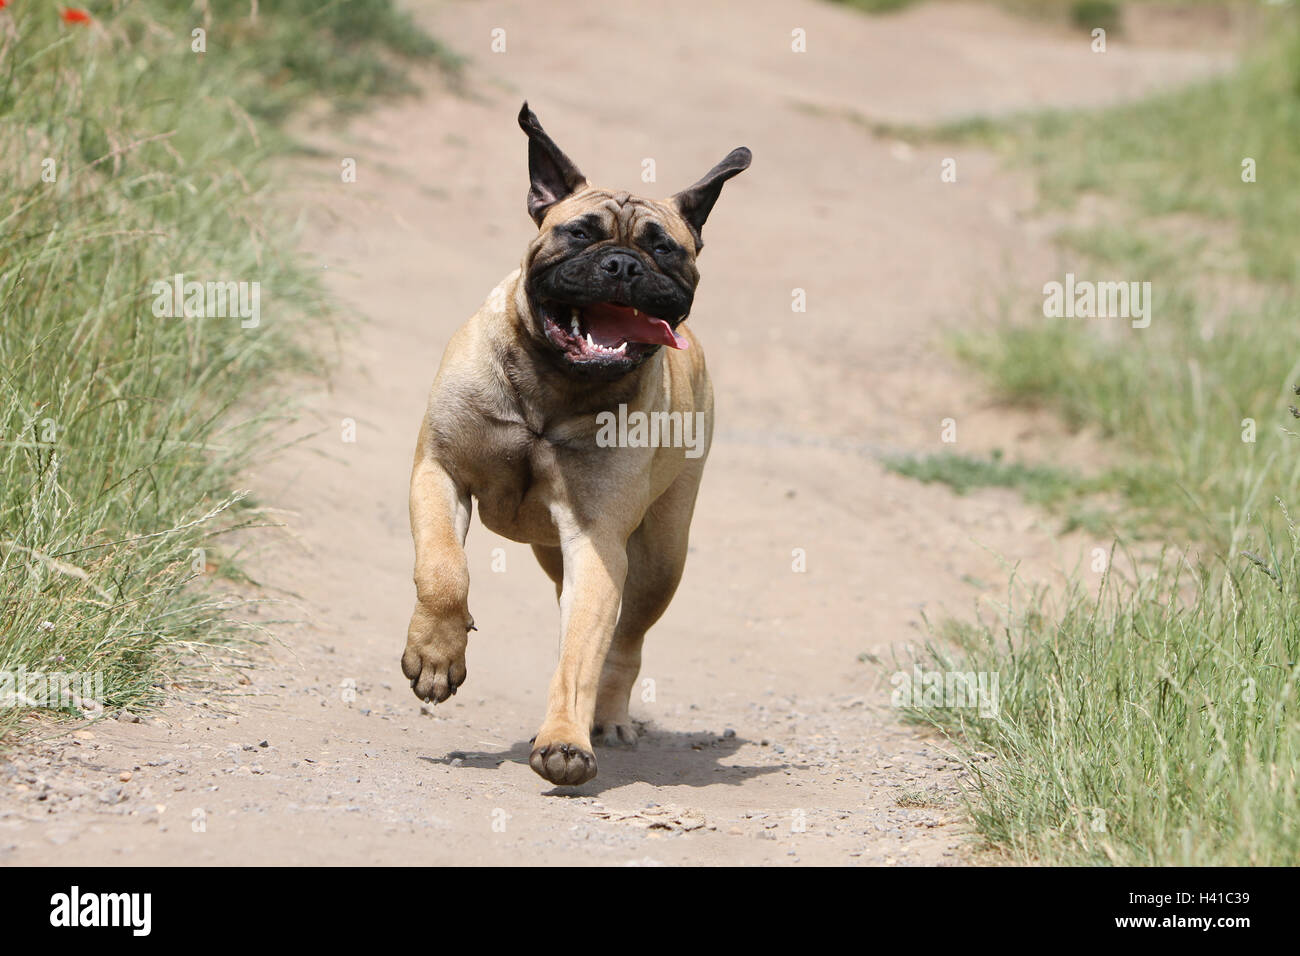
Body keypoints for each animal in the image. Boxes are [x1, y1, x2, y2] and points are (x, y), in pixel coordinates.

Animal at [405, 102, 754, 785]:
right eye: (579, 234)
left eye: (664, 248)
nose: (622, 264)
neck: (557, 386)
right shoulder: (440, 472)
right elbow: (442, 569)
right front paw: (435, 652)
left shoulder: (597, 542)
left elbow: (581, 657)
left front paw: (565, 741)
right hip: (556, 553)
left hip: (659, 558)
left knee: (622, 644)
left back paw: (608, 717)